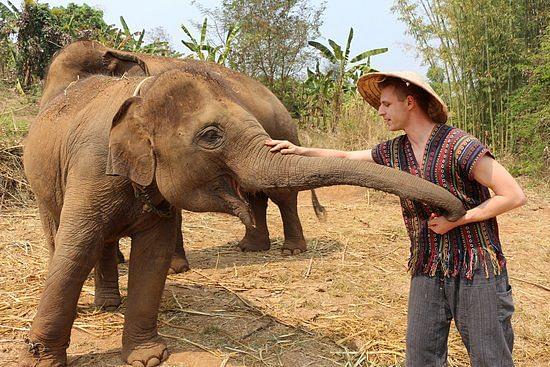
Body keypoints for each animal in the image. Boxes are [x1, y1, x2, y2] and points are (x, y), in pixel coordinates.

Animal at [22, 64, 466, 366]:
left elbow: (153, 256)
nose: (457, 208)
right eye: (211, 135)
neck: (141, 94)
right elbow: (75, 246)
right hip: (40, 182)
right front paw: (39, 359)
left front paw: (148, 357)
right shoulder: (92, 166)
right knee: (65, 234)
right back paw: (104, 307)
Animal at [42, 40, 328, 272]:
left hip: (281, 131)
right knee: (254, 193)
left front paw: (174, 268)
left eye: (74, 87)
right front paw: (120, 259)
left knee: (283, 196)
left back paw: (291, 249)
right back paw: (250, 247)